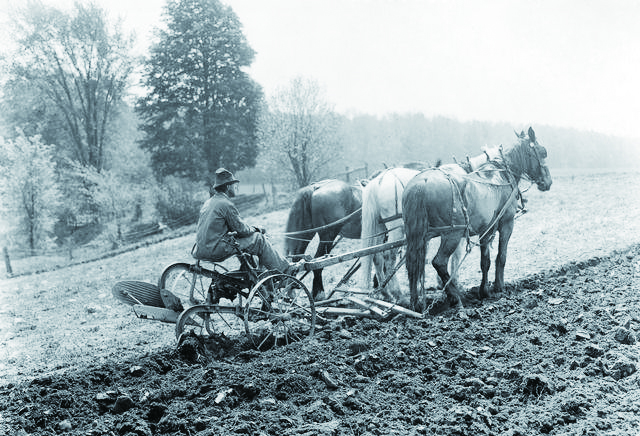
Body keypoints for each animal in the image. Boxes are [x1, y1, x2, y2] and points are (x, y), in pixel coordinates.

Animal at [360, 148, 500, 302]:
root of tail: (378, 181)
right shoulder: (456, 230)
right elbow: (455, 255)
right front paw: (452, 282)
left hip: (381, 228)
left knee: (376, 256)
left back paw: (386, 292)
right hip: (396, 229)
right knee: (388, 256)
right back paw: (398, 294)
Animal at [402, 127, 552, 312]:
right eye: (543, 152)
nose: (548, 182)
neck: (502, 175)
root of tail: (423, 182)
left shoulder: (486, 229)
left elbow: (485, 261)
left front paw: (484, 291)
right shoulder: (506, 223)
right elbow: (501, 256)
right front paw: (498, 287)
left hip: (417, 236)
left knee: (413, 264)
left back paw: (415, 305)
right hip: (452, 234)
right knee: (439, 262)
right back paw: (455, 298)